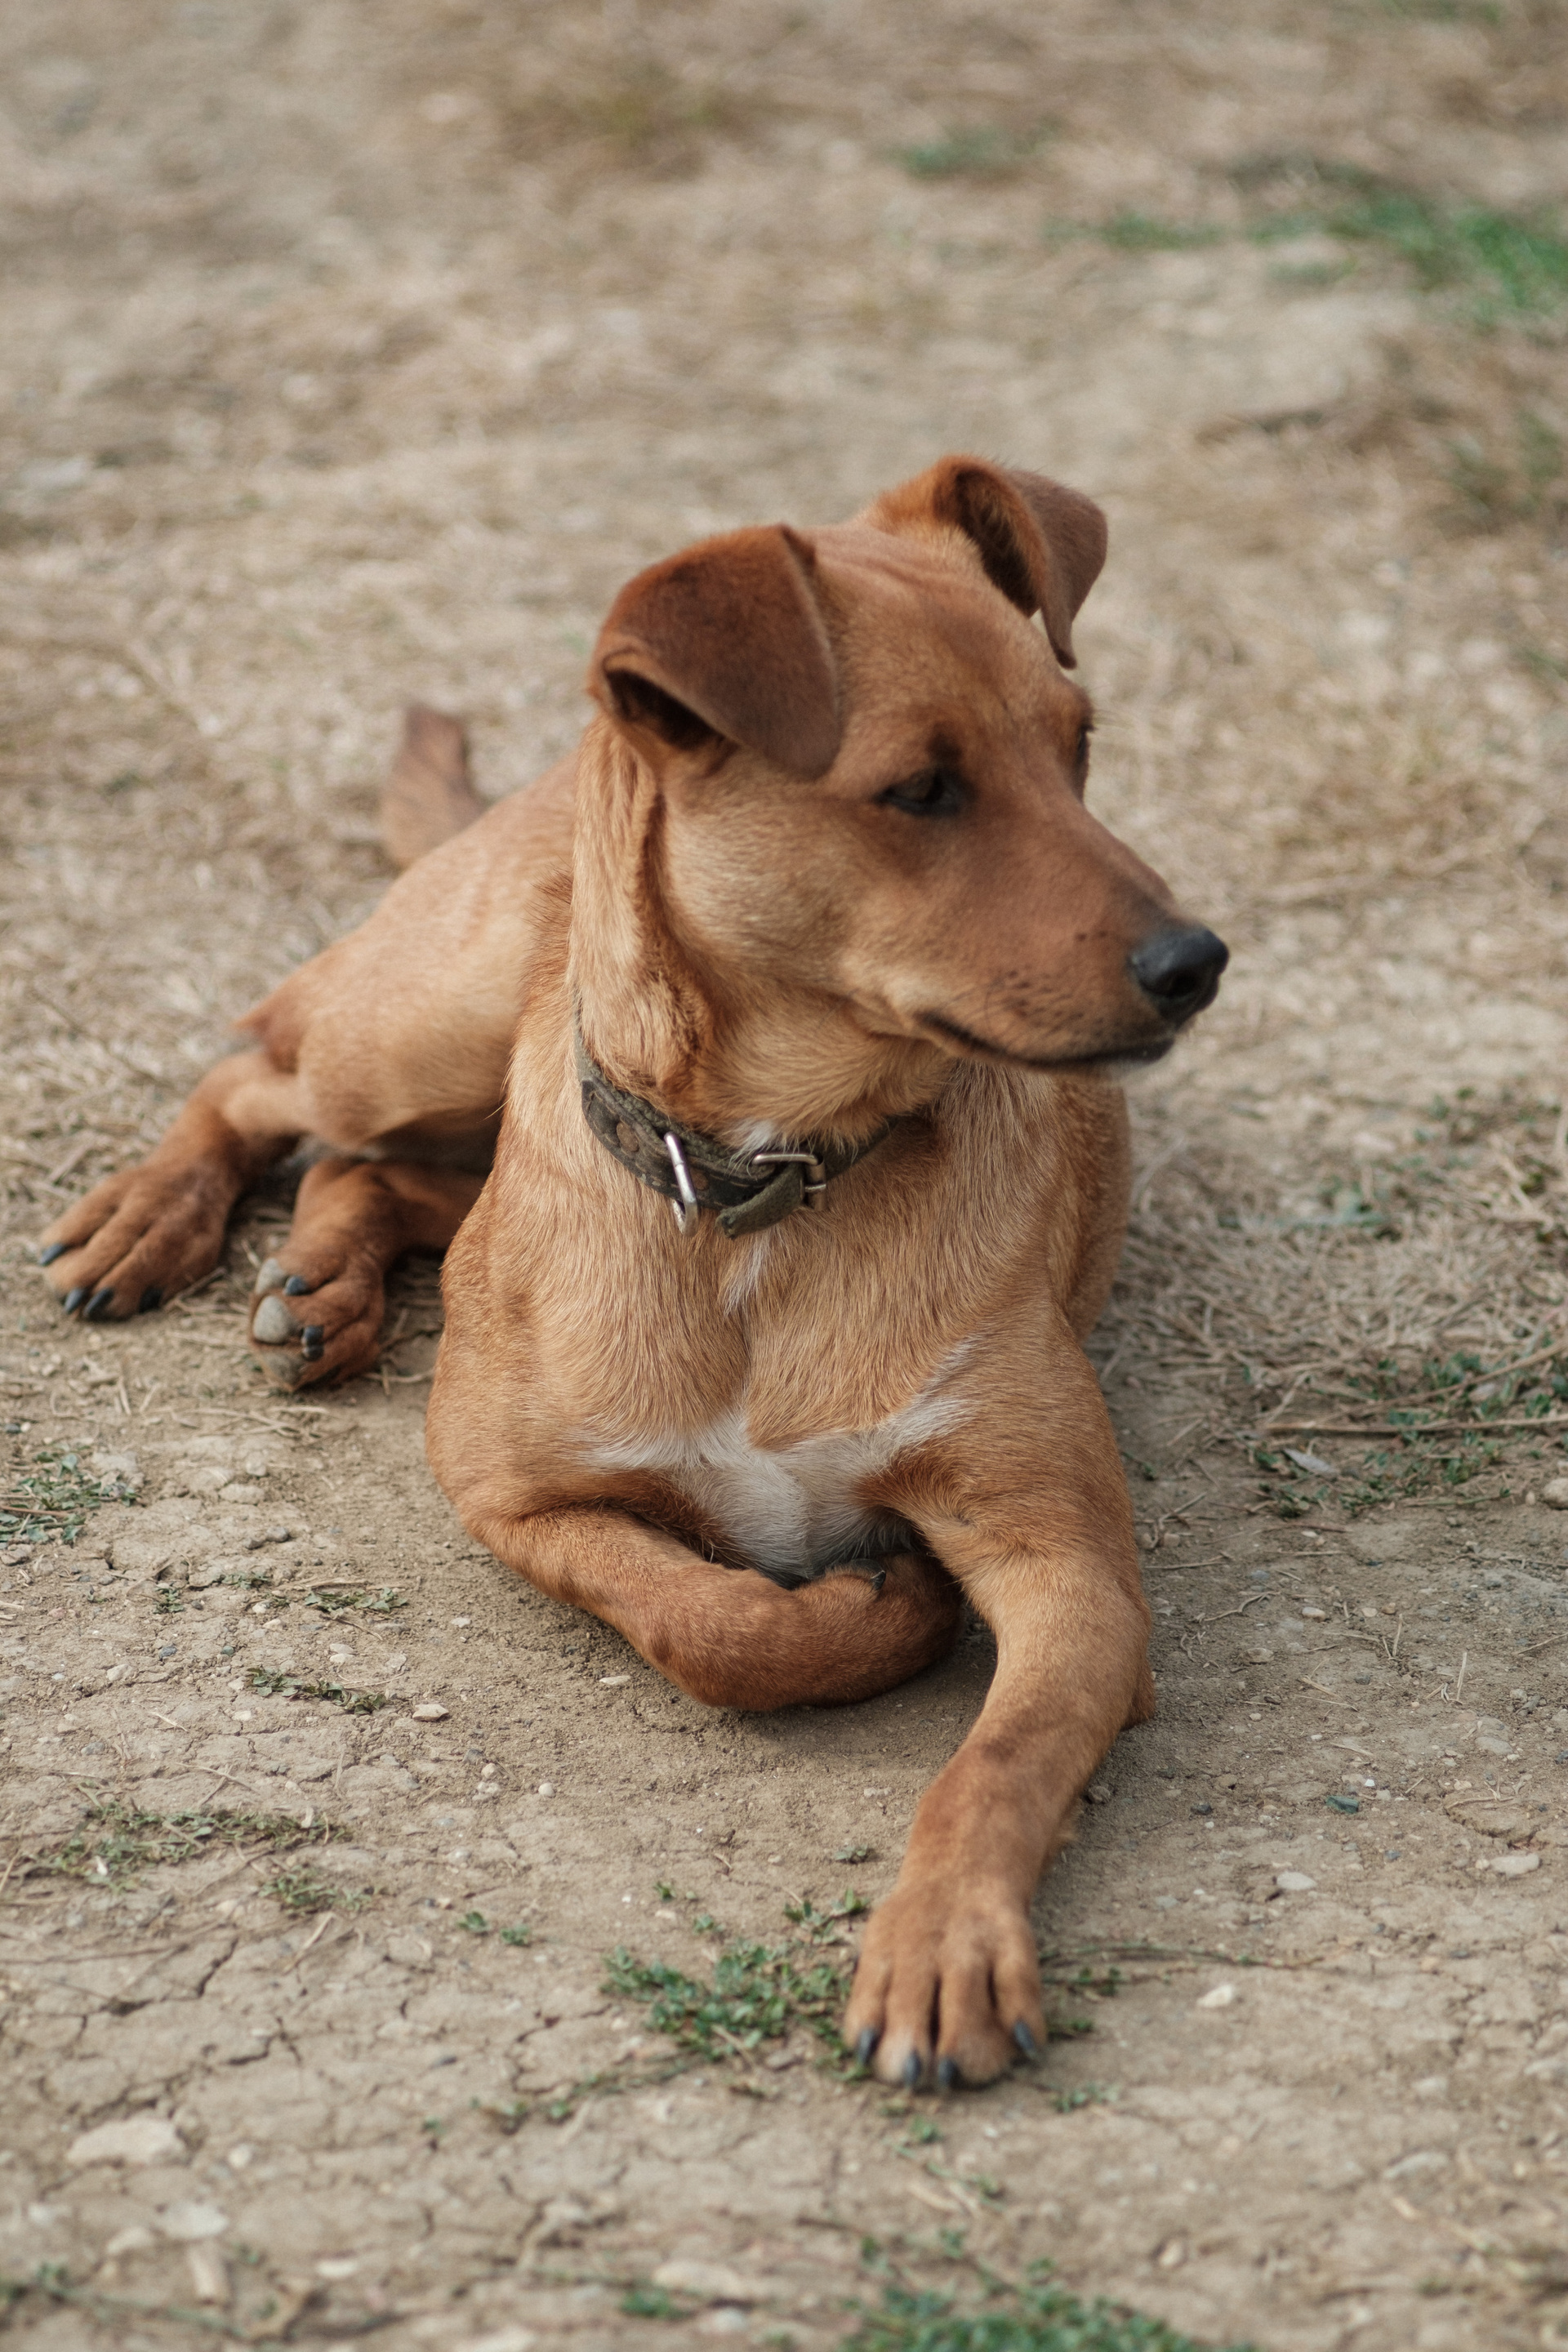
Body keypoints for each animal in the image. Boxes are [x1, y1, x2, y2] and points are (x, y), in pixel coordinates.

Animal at [39, 457, 1226, 2086]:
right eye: (921, 789)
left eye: (1081, 747)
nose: (1199, 962)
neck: (762, 1194)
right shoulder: (506, 1494)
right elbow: (705, 1621)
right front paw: (880, 1616)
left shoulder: (1075, 1576)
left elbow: (996, 1762)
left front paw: (942, 1943)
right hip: (421, 1024)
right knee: (263, 1072)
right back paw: (154, 1215)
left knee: (379, 1172)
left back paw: (325, 1288)